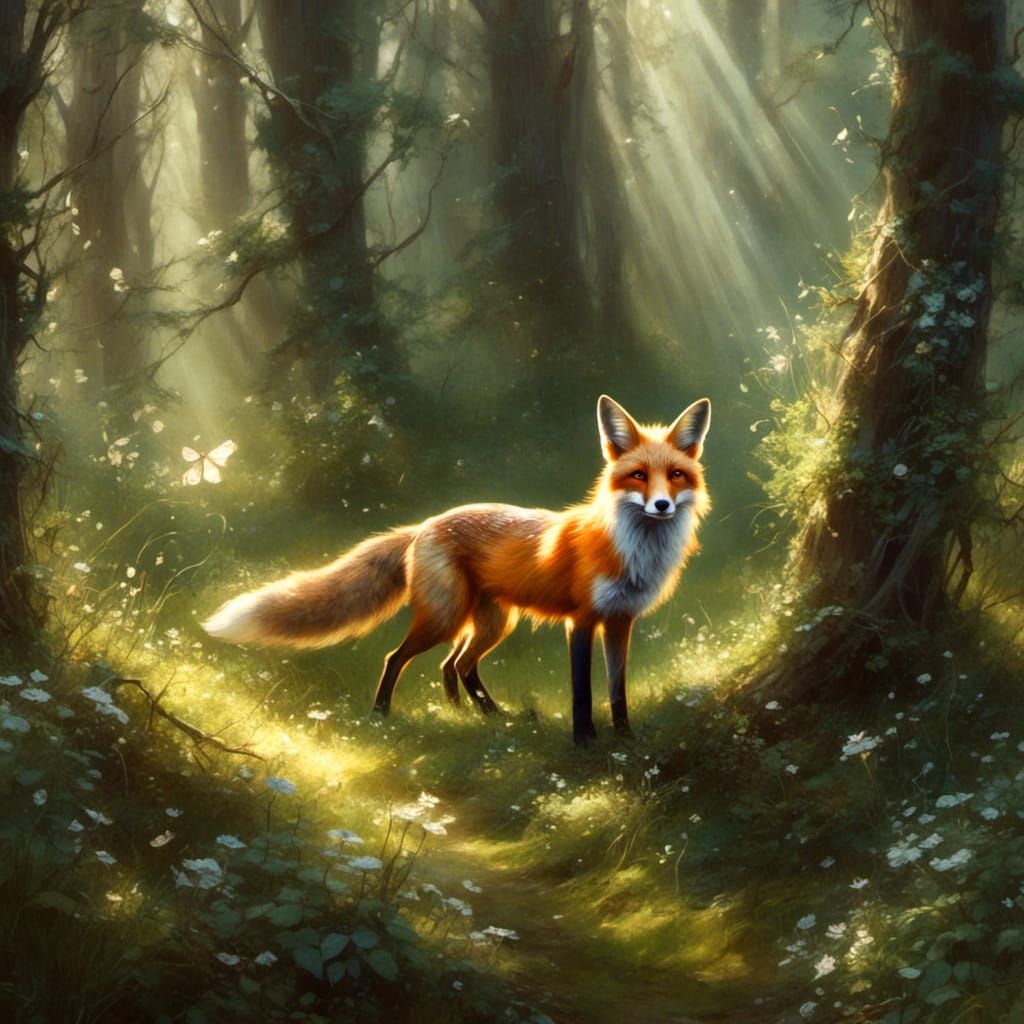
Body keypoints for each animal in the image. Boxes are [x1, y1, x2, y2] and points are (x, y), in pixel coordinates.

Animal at [202, 395, 711, 744]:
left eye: (676, 476)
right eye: (638, 476)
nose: (662, 506)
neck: (633, 553)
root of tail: (426, 524)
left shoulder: (621, 621)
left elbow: (617, 687)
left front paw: (625, 737)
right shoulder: (582, 621)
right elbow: (583, 690)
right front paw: (584, 740)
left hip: (492, 622)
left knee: (456, 666)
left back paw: (478, 717)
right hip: (447, 618)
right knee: (398, 658)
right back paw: (383, 713)